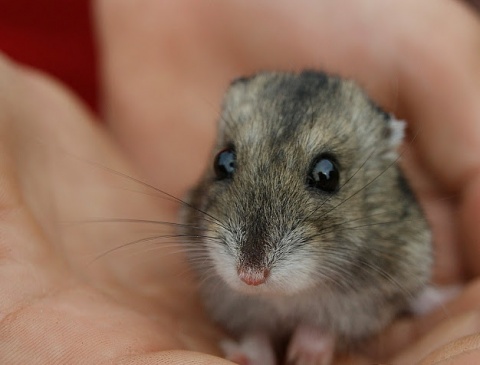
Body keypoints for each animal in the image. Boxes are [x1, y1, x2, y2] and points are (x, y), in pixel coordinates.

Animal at [182, 69, 434, 362]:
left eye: (328, 174)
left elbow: (323, 327)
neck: (284, 296)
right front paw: (247, 356)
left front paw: (303, 356)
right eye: (222, 162)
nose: (251, 277)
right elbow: (256, 333)